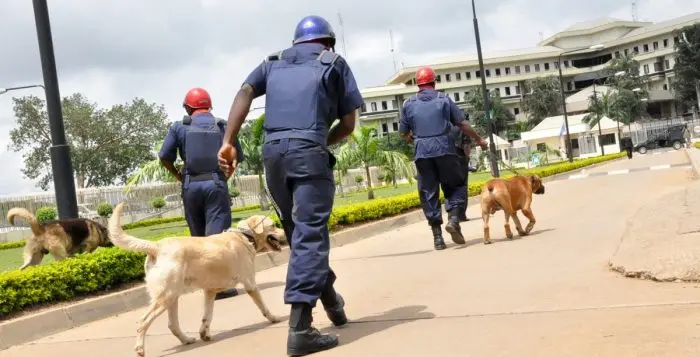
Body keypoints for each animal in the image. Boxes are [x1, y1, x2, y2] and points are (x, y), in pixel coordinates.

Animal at [108, 203, 284, 356]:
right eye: (273, 225)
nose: (284, 232)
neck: (244, 235)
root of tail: (157, 246)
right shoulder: (250, 284)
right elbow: (264, 306)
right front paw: (274, 318)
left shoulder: (210, 291)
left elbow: (207, 316)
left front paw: (204, 334)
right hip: (166, 296)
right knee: (143, 321)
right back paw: (140, 349)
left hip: (172, 296)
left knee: (172, 325)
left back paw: (186, 339)